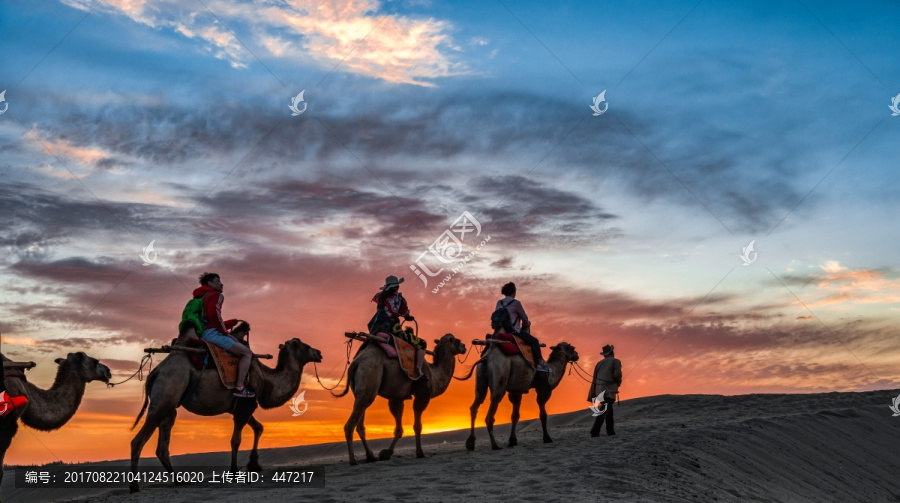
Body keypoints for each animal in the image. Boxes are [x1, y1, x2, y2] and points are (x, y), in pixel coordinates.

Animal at [128, 334, 322, 492]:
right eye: (304, 345)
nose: (319, 353)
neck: (266, 379)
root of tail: (155, 372)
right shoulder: (245, 406)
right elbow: (236, 439)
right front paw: (234, 471)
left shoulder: (243, 406)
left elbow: (258, 428)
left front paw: (254, 464)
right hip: (165, 396)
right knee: (138, 441)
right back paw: (134, 486)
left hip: (169, 407)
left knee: (163, 445)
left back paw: (179, 481)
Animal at [334, 332, 468, 466]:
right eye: (457, 340)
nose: (464, 347)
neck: (434, 374)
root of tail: (356, 362)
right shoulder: (423, 393)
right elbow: (417, 425)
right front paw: (420, 453)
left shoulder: (397, 396)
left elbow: (398, 428)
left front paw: (386, 453)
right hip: (369, 377)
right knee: (350, 425)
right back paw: (353, 460)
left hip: (361, 391)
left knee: (360, 424)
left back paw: (371, 456)